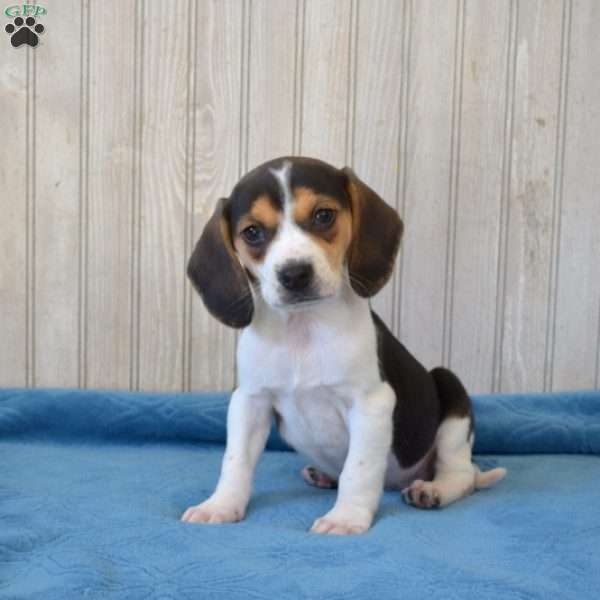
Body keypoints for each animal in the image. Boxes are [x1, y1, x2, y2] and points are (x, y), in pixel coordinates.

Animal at [180, 157, 504, 536]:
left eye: (323, 215)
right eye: (252, 232)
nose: (294, 274)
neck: (303, 330)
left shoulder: (371, 403)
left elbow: (358, 470)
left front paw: (346, 517)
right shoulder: (249, 402)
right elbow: (235, 462)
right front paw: (220, 505)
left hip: (450, 395)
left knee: (462, 473)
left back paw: (433, 490)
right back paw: (323, 475)